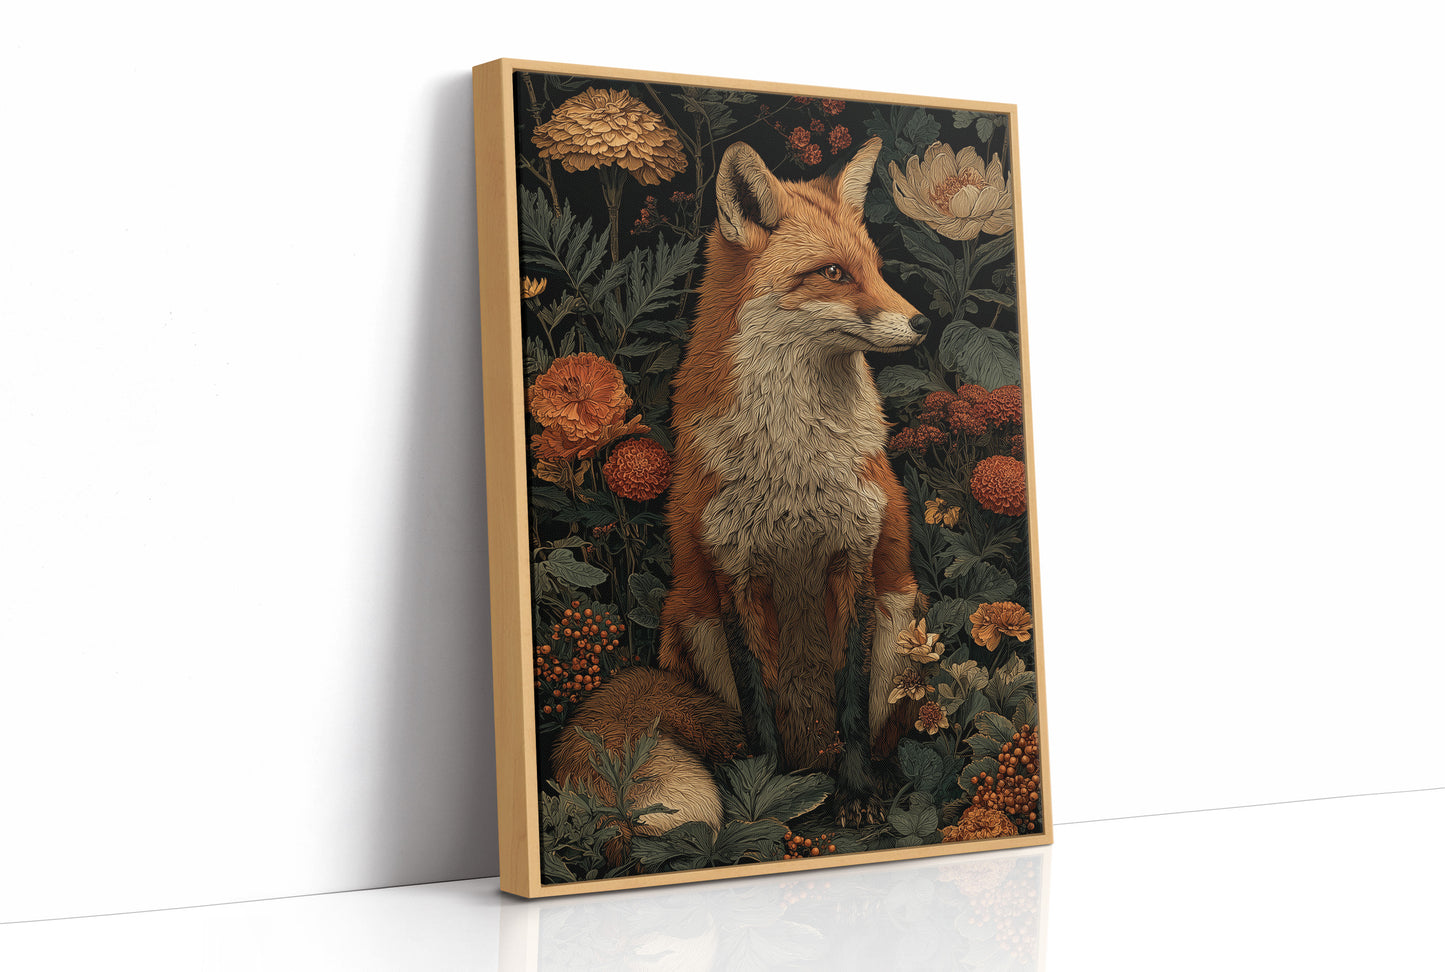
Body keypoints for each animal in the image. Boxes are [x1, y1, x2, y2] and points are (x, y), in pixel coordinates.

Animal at [555, 135, 929, 839]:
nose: (921, 323)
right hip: (692, 620)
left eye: (874, 267)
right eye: (833, 273)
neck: (793, 463)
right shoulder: (734, 572)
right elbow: (758, 706)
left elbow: (851, 698)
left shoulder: (857, 562)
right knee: (733, 734)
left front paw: (857, 794)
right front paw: (767, 799)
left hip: (902, 617)